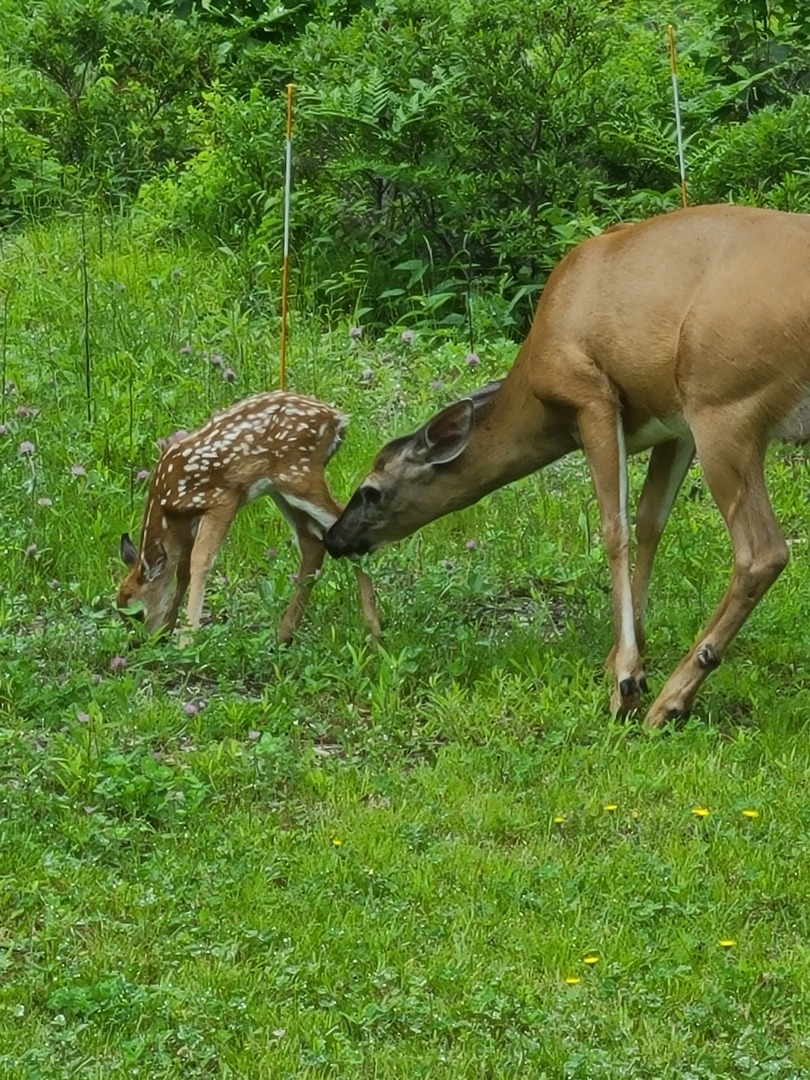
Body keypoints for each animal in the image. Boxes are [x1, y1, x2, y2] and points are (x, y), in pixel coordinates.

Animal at [118, 395, 384, 643]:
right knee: (312, 542)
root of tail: (337, 418)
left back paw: (374, 631)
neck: (168, 510)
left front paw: (187, 639)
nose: (139, 643)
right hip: (280, 487)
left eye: (138, 614)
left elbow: (200, 562)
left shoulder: (223, 499)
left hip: (298, 473)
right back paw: (285, 635)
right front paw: (168, 629)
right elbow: (183, 571)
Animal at [326, 203, 810, 725]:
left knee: (763, 552)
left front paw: (626, 682)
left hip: (723, 401)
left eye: (371, 490)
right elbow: (650, 522)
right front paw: (624, 656)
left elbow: (615, 527)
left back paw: (671, 699)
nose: (334, 539)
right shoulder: (672, 424)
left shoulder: (591, 396)